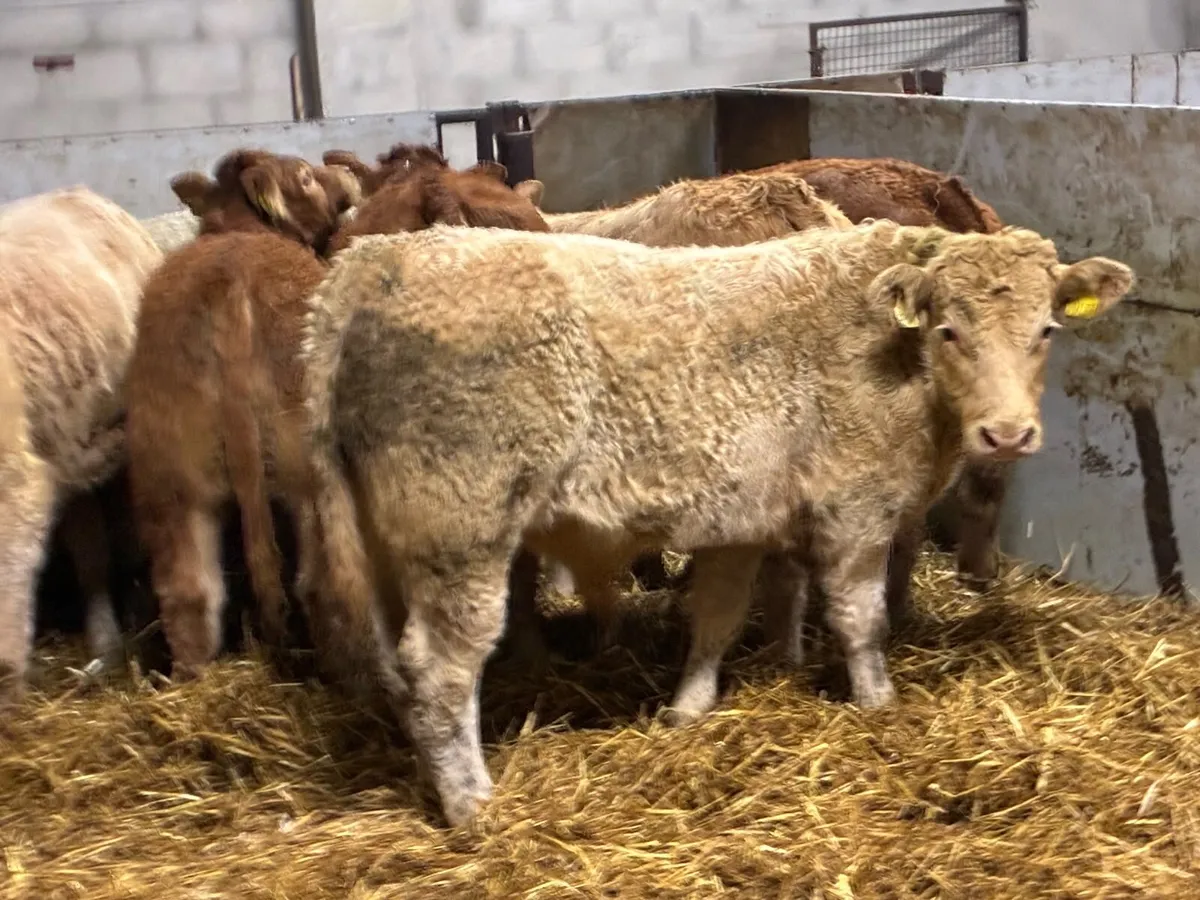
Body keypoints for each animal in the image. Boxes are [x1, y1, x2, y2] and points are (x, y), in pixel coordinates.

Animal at [123, 148, 361, 680]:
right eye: (306, 177)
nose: (346, 172)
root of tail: (227, 288)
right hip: (308, 474)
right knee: (321, 584)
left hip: (169, 479)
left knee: (190, 594)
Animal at [298, 219, 1133, 827]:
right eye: (950, 330)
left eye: (1046, 330)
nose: (1007, 434)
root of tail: (375, 257)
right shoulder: (856, 509)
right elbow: (860, 620)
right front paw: (878, 707)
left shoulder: (740, 519)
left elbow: (720, 618)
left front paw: (689, 710)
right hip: (459, 532)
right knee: (440, 670)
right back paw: (472, 804)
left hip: (387, 541)